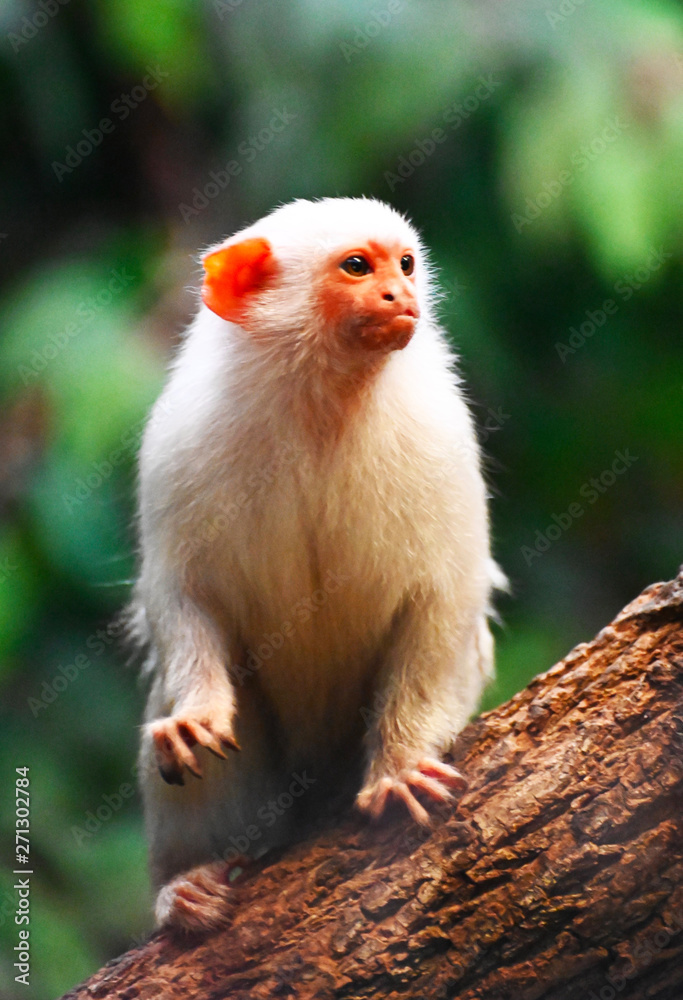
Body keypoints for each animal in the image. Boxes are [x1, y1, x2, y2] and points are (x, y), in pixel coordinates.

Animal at [130, 197, 504, 932]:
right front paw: (195, 715)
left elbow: (443, 609)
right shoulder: (181, 441)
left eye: (405, 264)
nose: (401, 296)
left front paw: (399, 767)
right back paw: (185, 884)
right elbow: (180, 600)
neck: (321, 402)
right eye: (357, 266)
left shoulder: (442, 440)